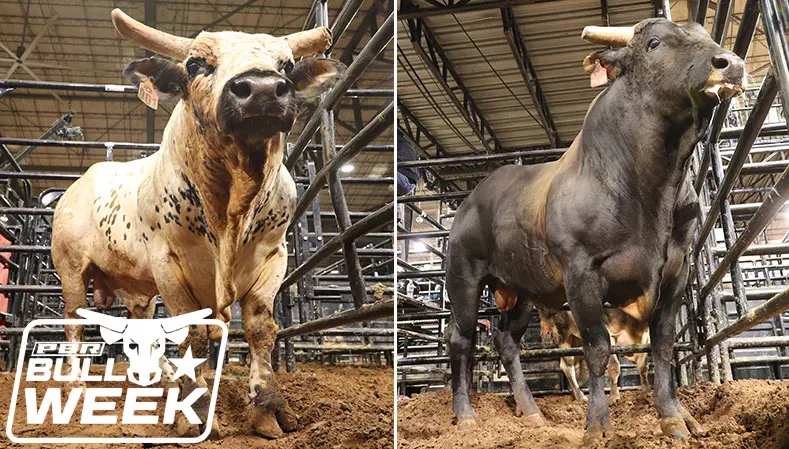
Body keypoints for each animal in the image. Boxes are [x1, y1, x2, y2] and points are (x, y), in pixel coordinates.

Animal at [51, 8, 345, 439]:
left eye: (287, 66)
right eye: (195, 64)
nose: (261, 89)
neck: (232, 204)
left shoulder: (273, 256)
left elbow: (259, 329)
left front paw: (268, 407)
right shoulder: (169, 264)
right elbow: (192, 335)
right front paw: (197, 411)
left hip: (137, 290)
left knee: (141, 331)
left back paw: (157, 379)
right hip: (71, 270)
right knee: (73, 324)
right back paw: (75, 383)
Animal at [444, 18, 744, 445]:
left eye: (705, 37)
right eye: (654, 42)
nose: (730, 63)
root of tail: (474, 195)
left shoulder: (676, 270)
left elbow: (663, 346)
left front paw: (674, 418)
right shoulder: (582, 272)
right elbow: (598, 349)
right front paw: (598, 424)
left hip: (521, 291)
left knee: (506, 342)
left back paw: (532, 413)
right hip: (463, 277)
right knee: (462, 340)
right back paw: (466, 414)